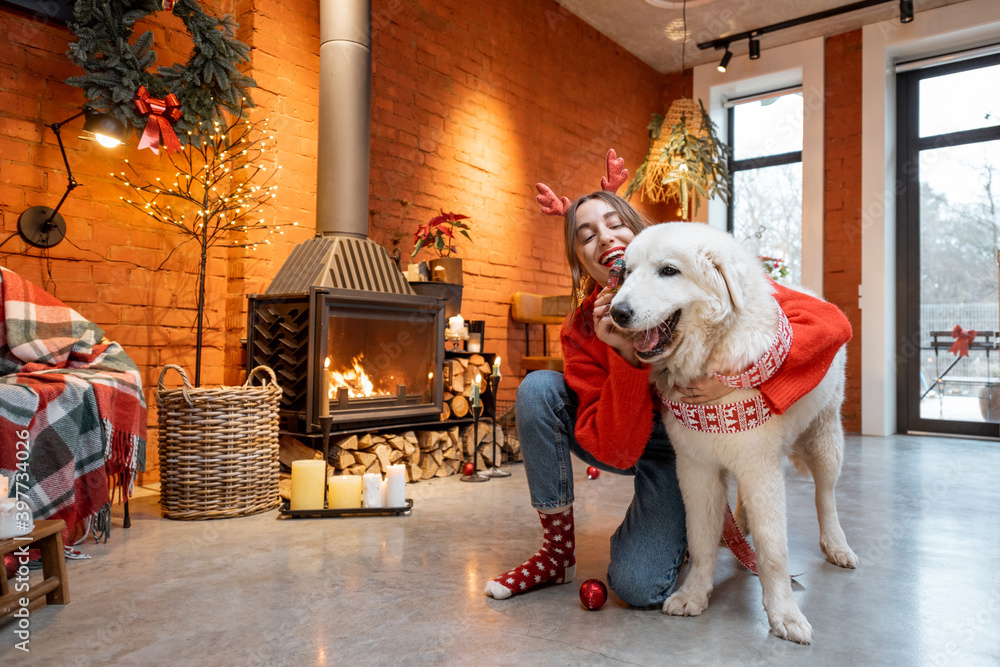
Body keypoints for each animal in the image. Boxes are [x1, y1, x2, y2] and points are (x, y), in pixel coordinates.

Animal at [608, 224, 860, 648]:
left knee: (825, 498)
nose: (617, 312)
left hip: (826, 441)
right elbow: (700, 538)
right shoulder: (697, 469)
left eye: (668, 271)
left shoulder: (761, 468)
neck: (712, 355)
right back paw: (739, 528)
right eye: (626, 272)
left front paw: (785, 615)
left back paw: (837, 545)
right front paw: (694, 595)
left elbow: (774, 551)